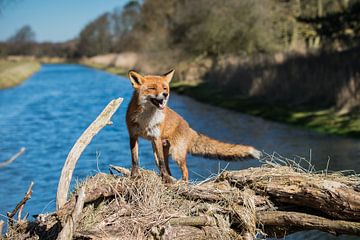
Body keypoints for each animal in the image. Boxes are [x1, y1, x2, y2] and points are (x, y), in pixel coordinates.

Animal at [126, 70, 262, 183]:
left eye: (165, 88)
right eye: (152, 88)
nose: (165, 94)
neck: (146, 120)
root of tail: (188, 127)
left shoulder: (156, 138)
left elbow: (161, 164)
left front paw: (164, 178)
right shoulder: (133, 135)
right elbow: (134, 159)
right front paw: (134, 175)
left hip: (176, 154)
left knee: (184, 171)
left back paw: (181, 184)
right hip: (161, 150)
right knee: (168, 168)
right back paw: (170, 180)